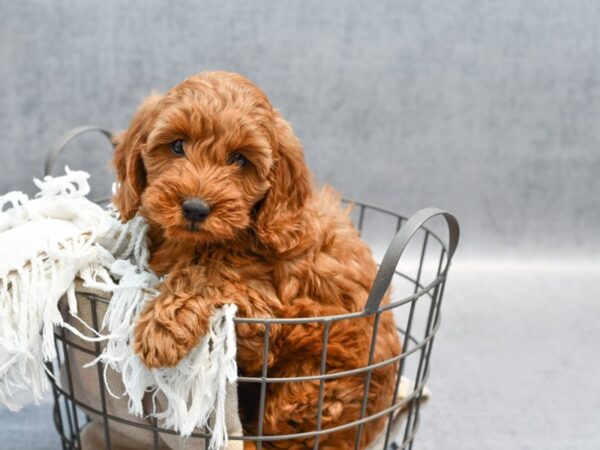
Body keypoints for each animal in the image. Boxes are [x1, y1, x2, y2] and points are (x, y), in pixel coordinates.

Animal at [112, 72, 404, 448]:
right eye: (177, 146)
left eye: (239, 159)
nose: (195, 208)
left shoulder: (269, 316)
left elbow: (207, 273)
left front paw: (160, 329)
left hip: (310, 392)